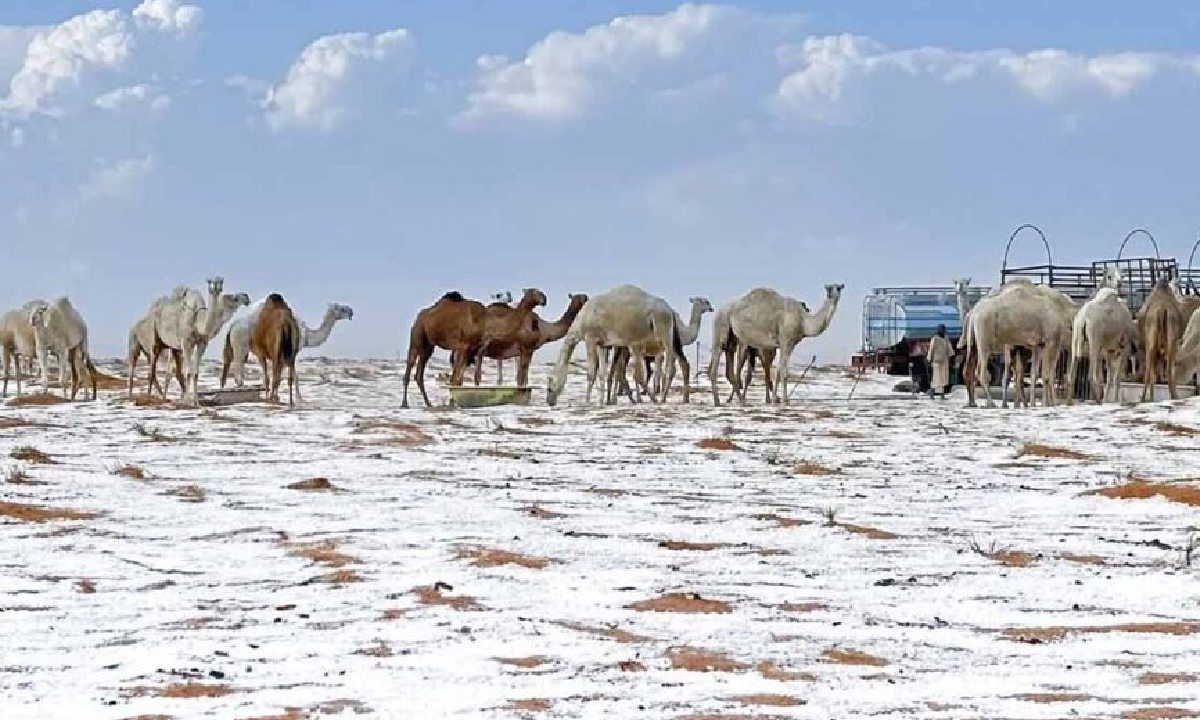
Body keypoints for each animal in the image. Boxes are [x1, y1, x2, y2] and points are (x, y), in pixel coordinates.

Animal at [220, 302, 352, 393]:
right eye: (342, 309)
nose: (351, 312)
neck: (307, 334)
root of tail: (232, 327)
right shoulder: (291, 351)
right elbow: (292, 376)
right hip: (240, 344)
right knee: (238, 364)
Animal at [547, 280, 676, 405]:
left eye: (549, 387)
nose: (549, 401)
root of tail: (669, 309)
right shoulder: (602, 344)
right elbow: (602, 373)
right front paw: (601, 402)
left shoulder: (590, 338)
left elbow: (591, 373)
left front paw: (586, 402)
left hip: (664, 329)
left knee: (668, 365)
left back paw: (661, 399)